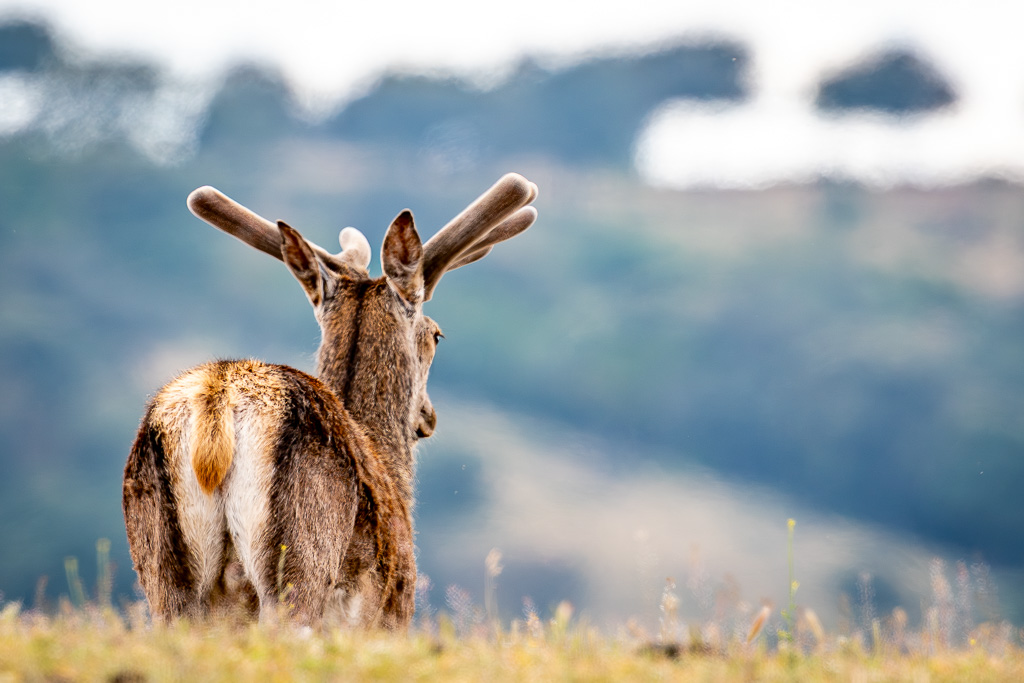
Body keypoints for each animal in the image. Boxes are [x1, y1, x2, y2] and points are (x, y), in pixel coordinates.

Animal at [122, 173, 538, 629]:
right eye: (437, 335)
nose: (428, 416)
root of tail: (221, 395)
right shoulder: (393, 611)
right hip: (302, 555)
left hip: (164, 572)